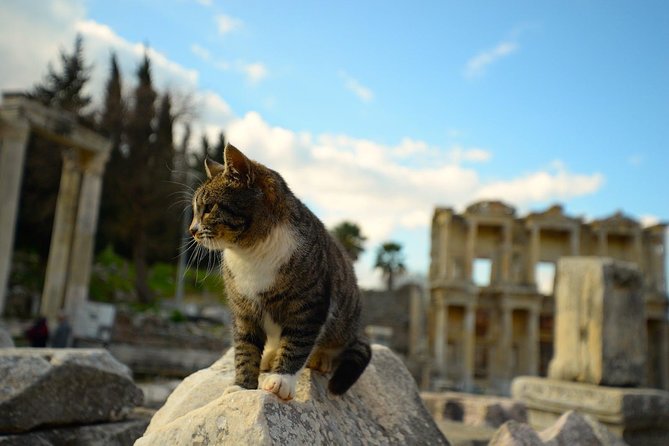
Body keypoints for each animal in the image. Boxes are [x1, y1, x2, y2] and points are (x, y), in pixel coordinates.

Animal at [190, 144, 374, 400]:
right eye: (195, 210)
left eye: (208, 208)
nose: (191, 230)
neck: (251, 252)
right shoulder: (243, 312)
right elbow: (244, 351)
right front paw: (243, 386)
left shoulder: (309, 306)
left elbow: (297, 344)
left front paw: (281, 380)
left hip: (346, 320)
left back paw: (321, 358)